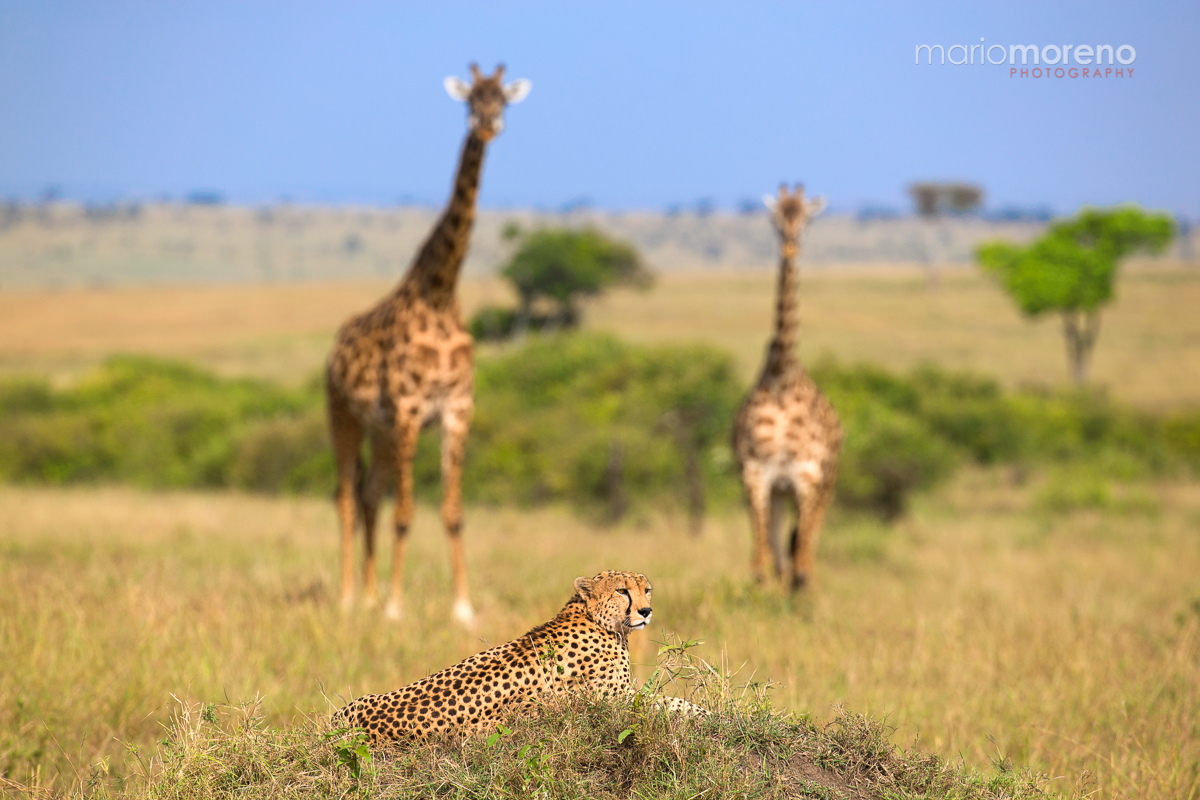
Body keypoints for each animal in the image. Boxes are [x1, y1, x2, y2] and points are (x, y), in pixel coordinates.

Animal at [325, 64, 531, 624]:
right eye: (470, 100)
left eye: (503, 99)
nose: (488, 124)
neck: (440, 294)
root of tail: (333, 350)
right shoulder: (410, 410)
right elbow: (406, 512)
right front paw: (397, 609)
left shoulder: (457, 410)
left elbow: (453, 513)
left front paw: (462, 608)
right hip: (344, 416)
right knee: (347, 497)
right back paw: (349, 598)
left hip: (379, 430)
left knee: (369, 494)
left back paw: (368, 594)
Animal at [334, 570, 706, 741]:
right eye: (621, 590)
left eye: (647, 590)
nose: (646, 610)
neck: (592, 616)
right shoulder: (614, 701)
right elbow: (670, 702)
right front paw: (706, 713)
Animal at [732, 184, 842, 591]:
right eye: (774, 219)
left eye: (807, 219)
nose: (790, 246)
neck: (781, 376)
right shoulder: (755, 473)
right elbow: (761, 560)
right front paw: (762, 591)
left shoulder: (806, 475)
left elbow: (801, 559)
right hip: (780, 490)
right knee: (781, 548)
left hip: (825, 482)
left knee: (806, 547)